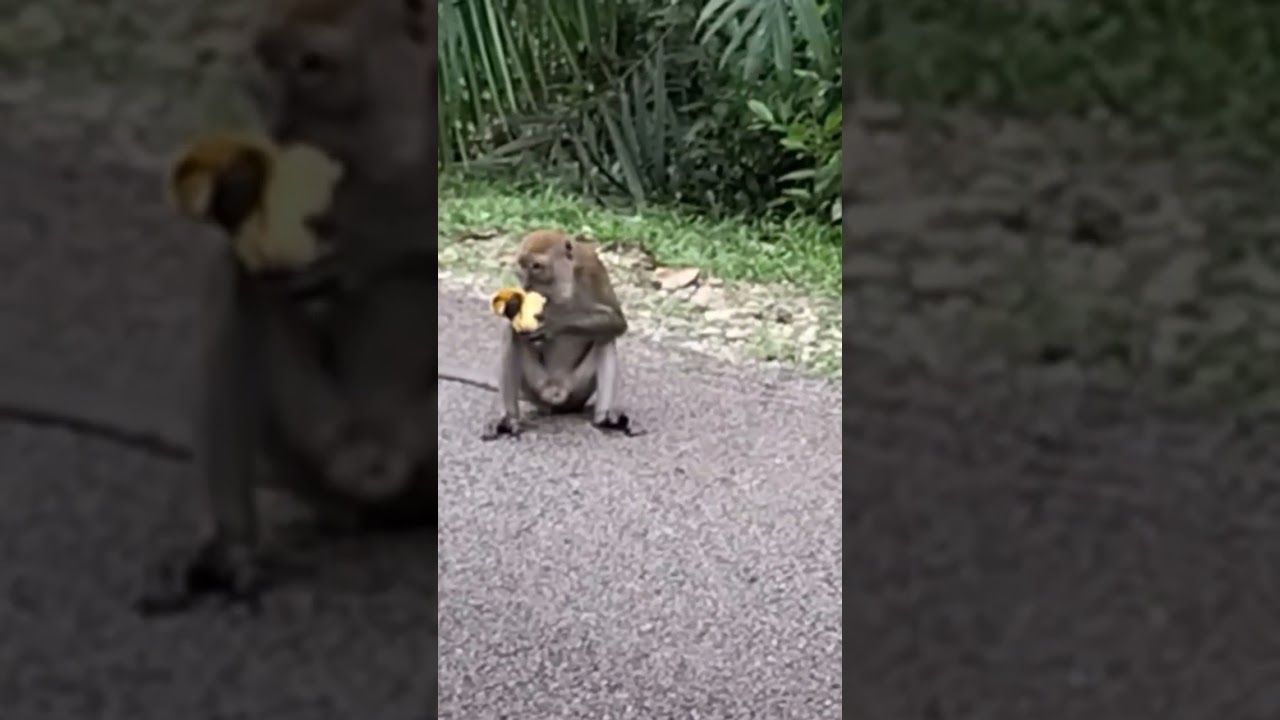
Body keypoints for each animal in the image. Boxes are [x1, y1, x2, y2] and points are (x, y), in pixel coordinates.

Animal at [481, 229, 640, 440]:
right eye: (521, 266)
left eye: (536, 266)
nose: (527, 284)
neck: (561, 280)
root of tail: (556, 393)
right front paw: (514, 305)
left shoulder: (592, 269)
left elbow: (616, 321)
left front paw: (553, 322)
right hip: (536, 388)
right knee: (511, 331)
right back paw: (509, 419)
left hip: (578, 390)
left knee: (605, 337)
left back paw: (605, 418)